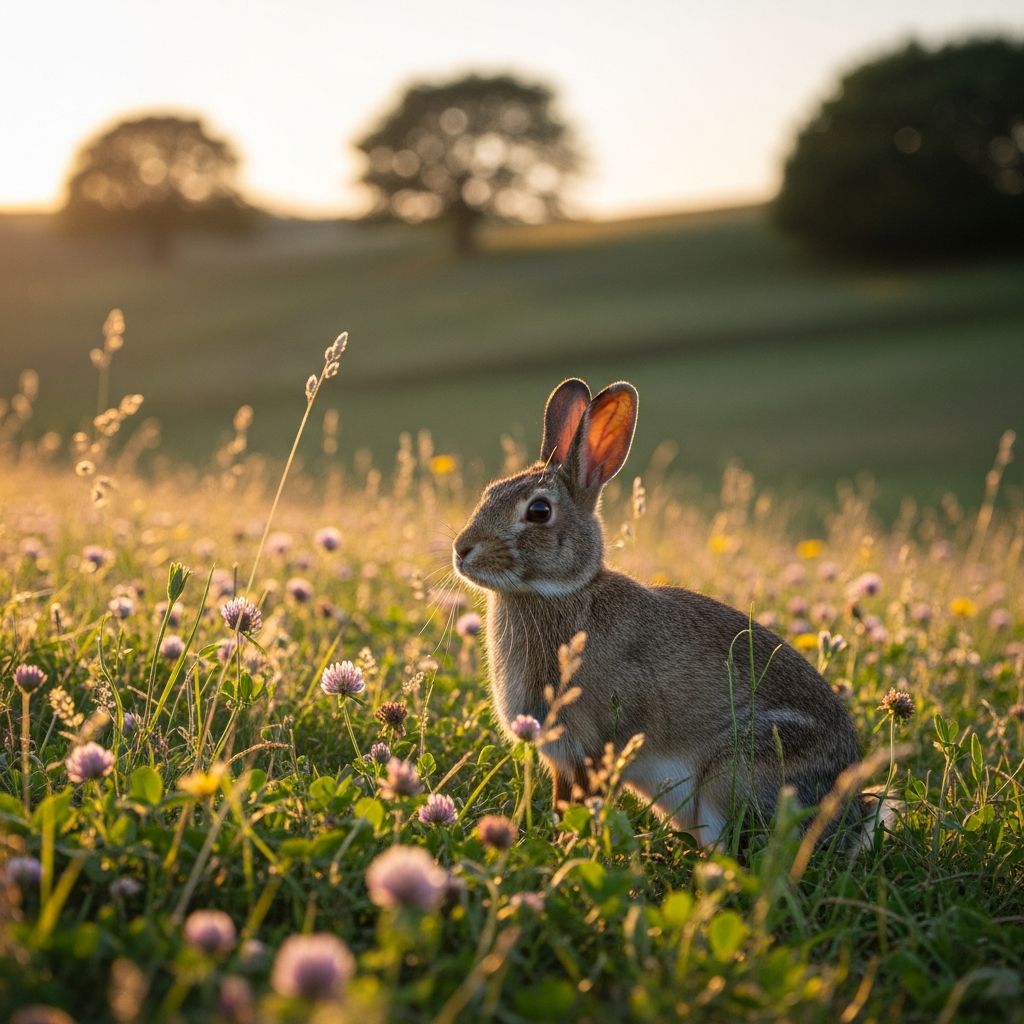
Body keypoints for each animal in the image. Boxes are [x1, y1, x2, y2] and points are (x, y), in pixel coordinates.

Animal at [453, 377, 866, 847]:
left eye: (539, 511)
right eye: (489, 493)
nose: (462, 550)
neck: (563, 592)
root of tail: (851, 819)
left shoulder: (594, 746)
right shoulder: (565, 760)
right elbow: (564, 805)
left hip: (740, 771)